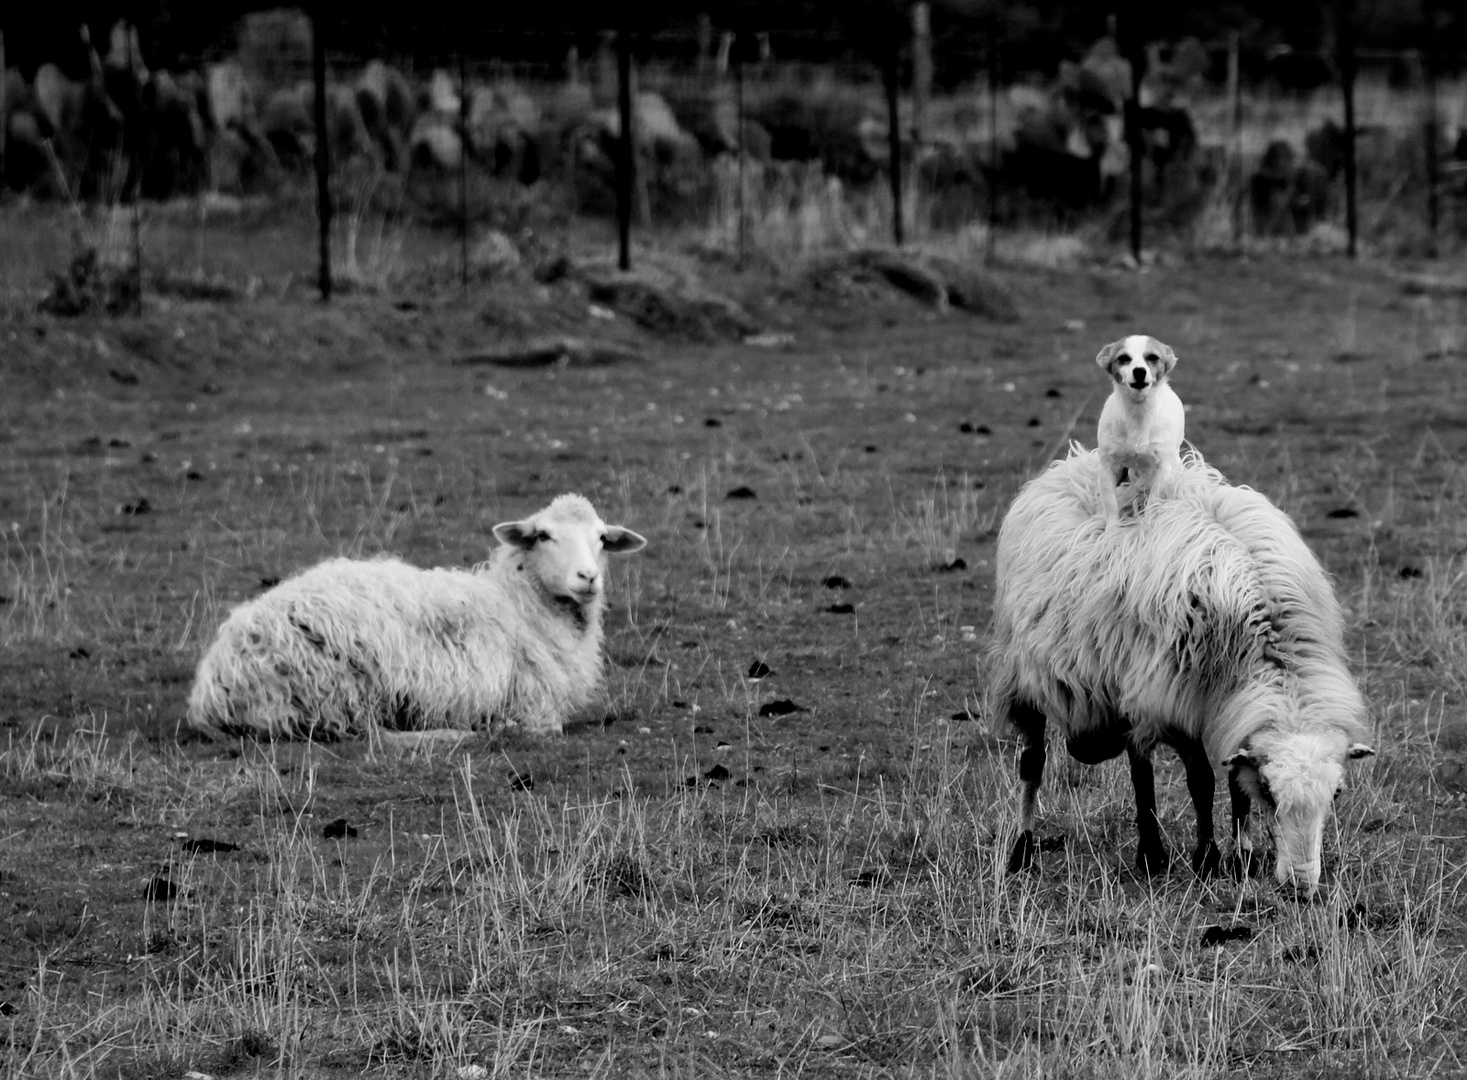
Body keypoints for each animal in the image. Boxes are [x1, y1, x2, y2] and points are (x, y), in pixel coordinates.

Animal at [186, 493, 645, 739]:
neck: (520, 605)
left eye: (601, 539)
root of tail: (211, 686)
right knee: (371, 734)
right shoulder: (535, 704)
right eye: (544, 536)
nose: (588, 577)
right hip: (338, 687)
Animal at [985, 446, 1373, 892]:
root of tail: (1074, 462)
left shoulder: (1223, 707)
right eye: (1270, 792)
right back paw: (1033, 851)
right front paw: (1207, 857)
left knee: (1135, 762)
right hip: (1031, 677)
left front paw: (1241, 858)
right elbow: (1201, 780)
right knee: (1037, 763)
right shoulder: (1175, 699)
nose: (1300, 885)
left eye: (1336, 794)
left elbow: (1232, 782)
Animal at [1097, 336, 1185, 525]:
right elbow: (1111, 505)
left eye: (1153, 357)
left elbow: (1152, 502)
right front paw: (1112, 530)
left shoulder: (1163, 469)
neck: (1138, 414)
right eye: (1123, 358)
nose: (1139, 371)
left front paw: (1146, 527)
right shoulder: (1107, 467)